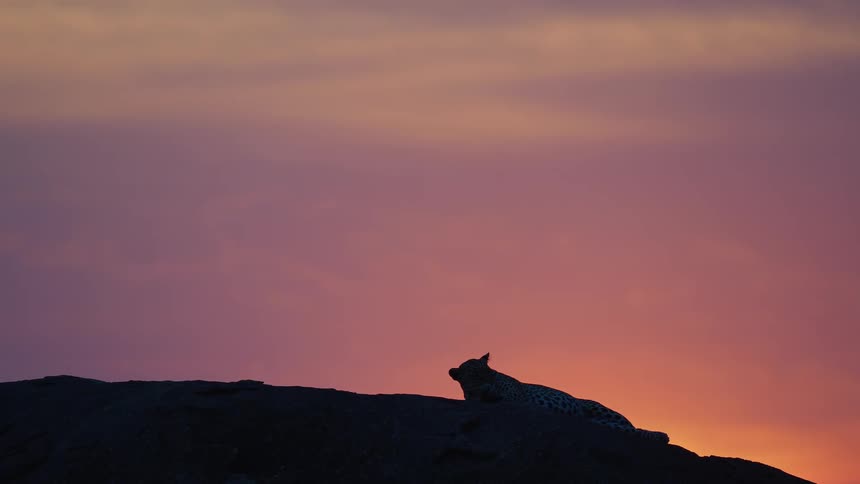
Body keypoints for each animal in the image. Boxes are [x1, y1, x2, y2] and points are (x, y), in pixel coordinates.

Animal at [448, 353, 669, 443]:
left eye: (489, 370)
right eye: (477, 373)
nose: (493, 376)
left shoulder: (515, 397)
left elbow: (501, 396)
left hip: (600, 409)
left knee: (631, 427)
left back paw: (661, 435)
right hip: (600, 423)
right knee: (628, 431)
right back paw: (659, 437)